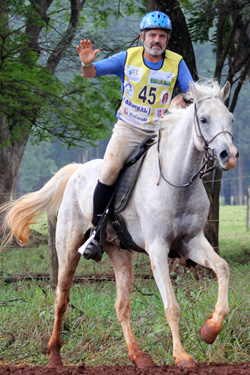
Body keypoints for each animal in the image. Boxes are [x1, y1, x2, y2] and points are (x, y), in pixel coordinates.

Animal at [0, 80, 238, 370]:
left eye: (230, 118)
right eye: (203, 119)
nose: (229, 155)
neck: (176, 180)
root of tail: (77, 170)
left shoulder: (191, 241)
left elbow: (223, 268)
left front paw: (210, 330)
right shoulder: (157, 249)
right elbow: (171, 306)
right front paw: (181, 356)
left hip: (120, 253)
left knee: (121, 306)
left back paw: (138, 356)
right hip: (67, 249)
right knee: (61, 299)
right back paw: (55, 355)